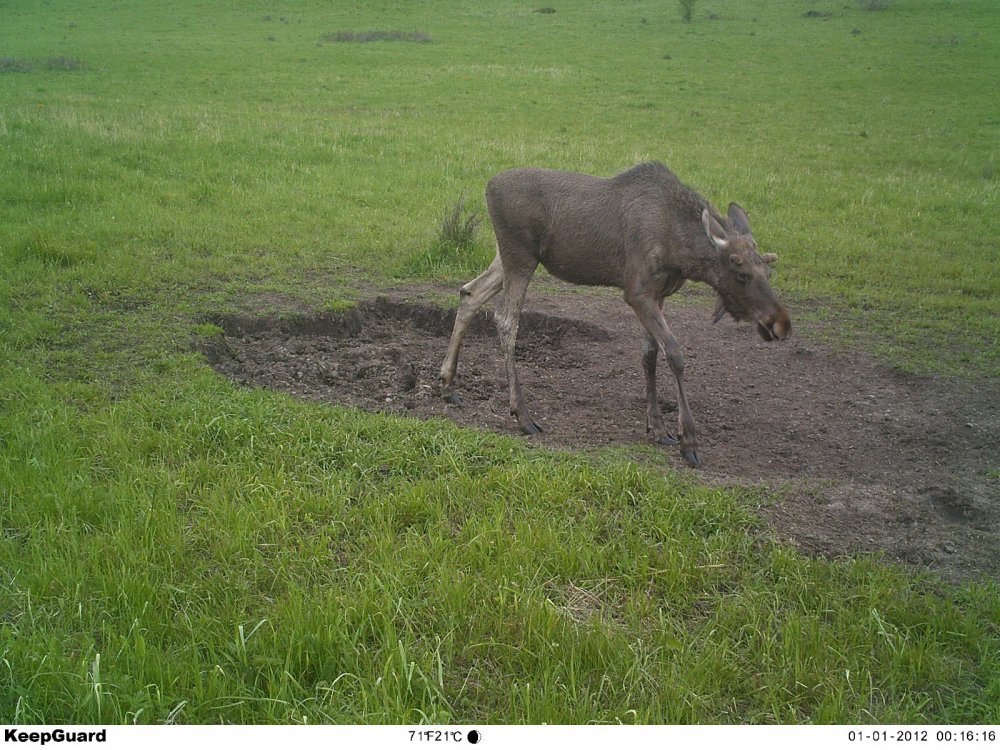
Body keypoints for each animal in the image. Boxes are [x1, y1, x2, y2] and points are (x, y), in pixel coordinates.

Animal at [438, 162, 791, 467]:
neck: (680, 253)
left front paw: (658, 428)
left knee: (469, 293)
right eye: (741, 274)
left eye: (769, 271)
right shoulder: (637, 291)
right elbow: (675, 353)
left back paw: (448, 384)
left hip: (509, 256)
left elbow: (650, 355)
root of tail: (488, 187)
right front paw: (688, 440)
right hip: (520, 253)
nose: (781, 324)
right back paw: (522, 415)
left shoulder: (658, 295)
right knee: (506, 319)